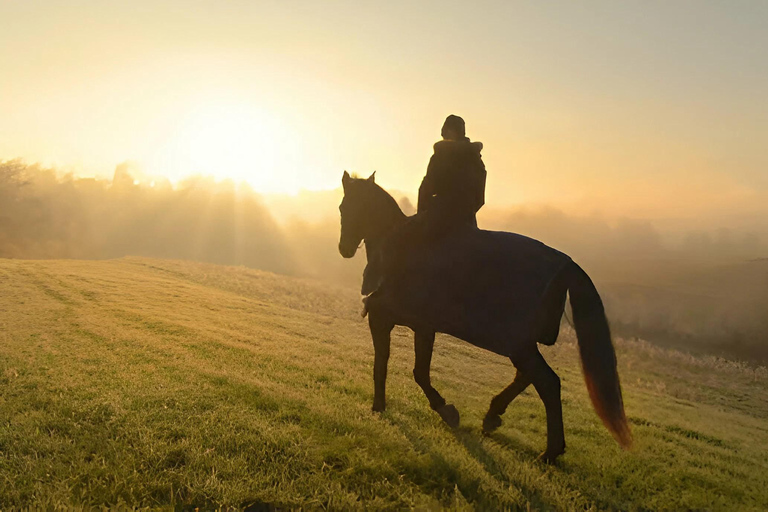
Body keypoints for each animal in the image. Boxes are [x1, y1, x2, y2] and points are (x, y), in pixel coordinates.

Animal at [336, 173, 632, 464]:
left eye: (346, 207)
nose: (344, 248)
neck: (396, 246)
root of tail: (567, 264)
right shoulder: (423, 327)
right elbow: (415, 369)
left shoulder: (385, 318)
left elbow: (389, 365)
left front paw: (386, 407)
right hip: (522, 345)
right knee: (527, 376)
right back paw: (493, 416)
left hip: (517, 344)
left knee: (548, 383)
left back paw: (550, 451)